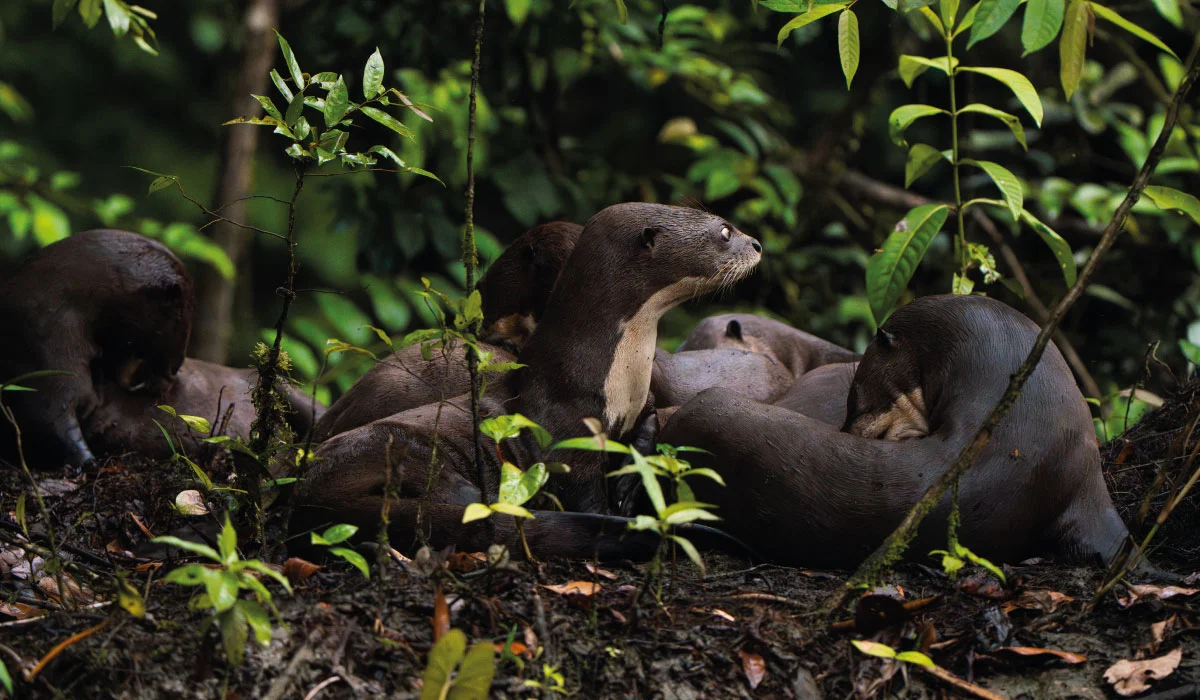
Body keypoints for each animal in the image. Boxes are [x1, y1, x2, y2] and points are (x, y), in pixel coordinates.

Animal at [290, 203, 762, 558]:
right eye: (724, 231)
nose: (757, 245)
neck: (617, 378)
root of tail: (307, 490)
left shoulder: (638, 403)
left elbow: (648, 428)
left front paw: (631, 483)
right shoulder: (570, 434)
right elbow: (584, 491)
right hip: (399, 446)